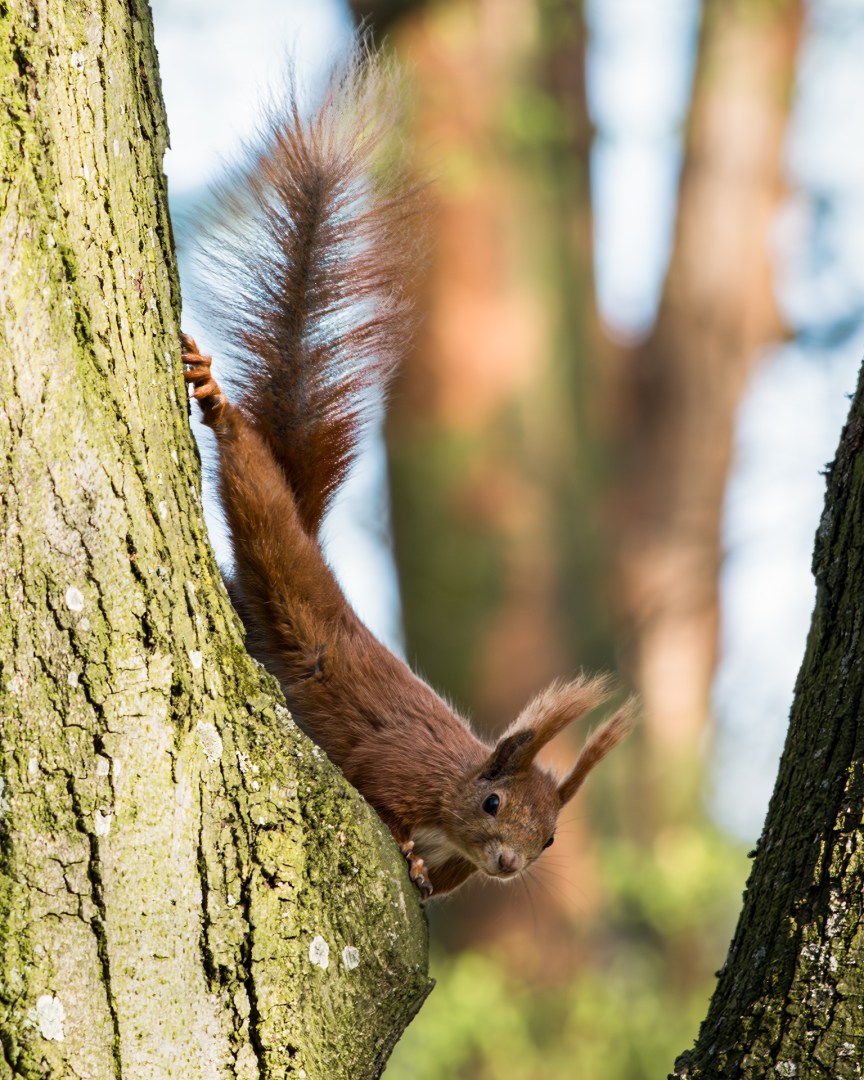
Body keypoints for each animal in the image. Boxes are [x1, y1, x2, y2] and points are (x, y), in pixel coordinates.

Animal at [181, 46, 634, 898]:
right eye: (493, 803)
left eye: (552, 837)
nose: (508, 865)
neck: (451, 798)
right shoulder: (396, 766)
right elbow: (378, 789)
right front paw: (410, 852)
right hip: (282, 561)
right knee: (255, 494)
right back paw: (220, 407)